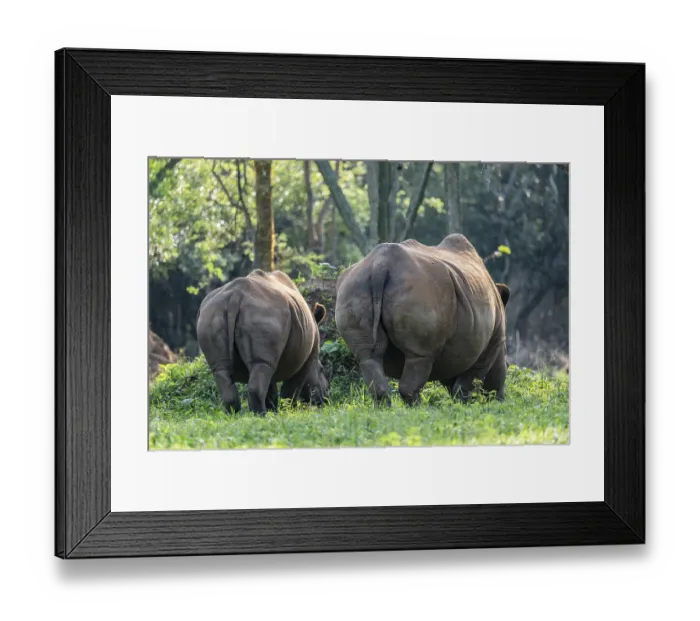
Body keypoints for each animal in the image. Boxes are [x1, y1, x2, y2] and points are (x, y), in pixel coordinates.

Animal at [196, 270, 329, 415]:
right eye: (321, 370)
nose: (325, 398)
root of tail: (235, 296)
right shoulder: (308, 357)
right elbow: (292, 388)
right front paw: (288, 411)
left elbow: (271, 388)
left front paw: (274, 411)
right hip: (265, 314)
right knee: (260, 365)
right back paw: (260, 415)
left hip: (211, 315)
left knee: (222, 369)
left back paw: (233, 415)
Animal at [335, 234, 510, 405]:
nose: (501, 398)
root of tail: (380, 265)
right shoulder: (492, 343)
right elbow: (469, 380)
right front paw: (464, 405)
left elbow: (454, 380)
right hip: (422, 289)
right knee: (420, 356)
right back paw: (419, 407)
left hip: (354, 287)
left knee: (367, 355)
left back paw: (385, 406)